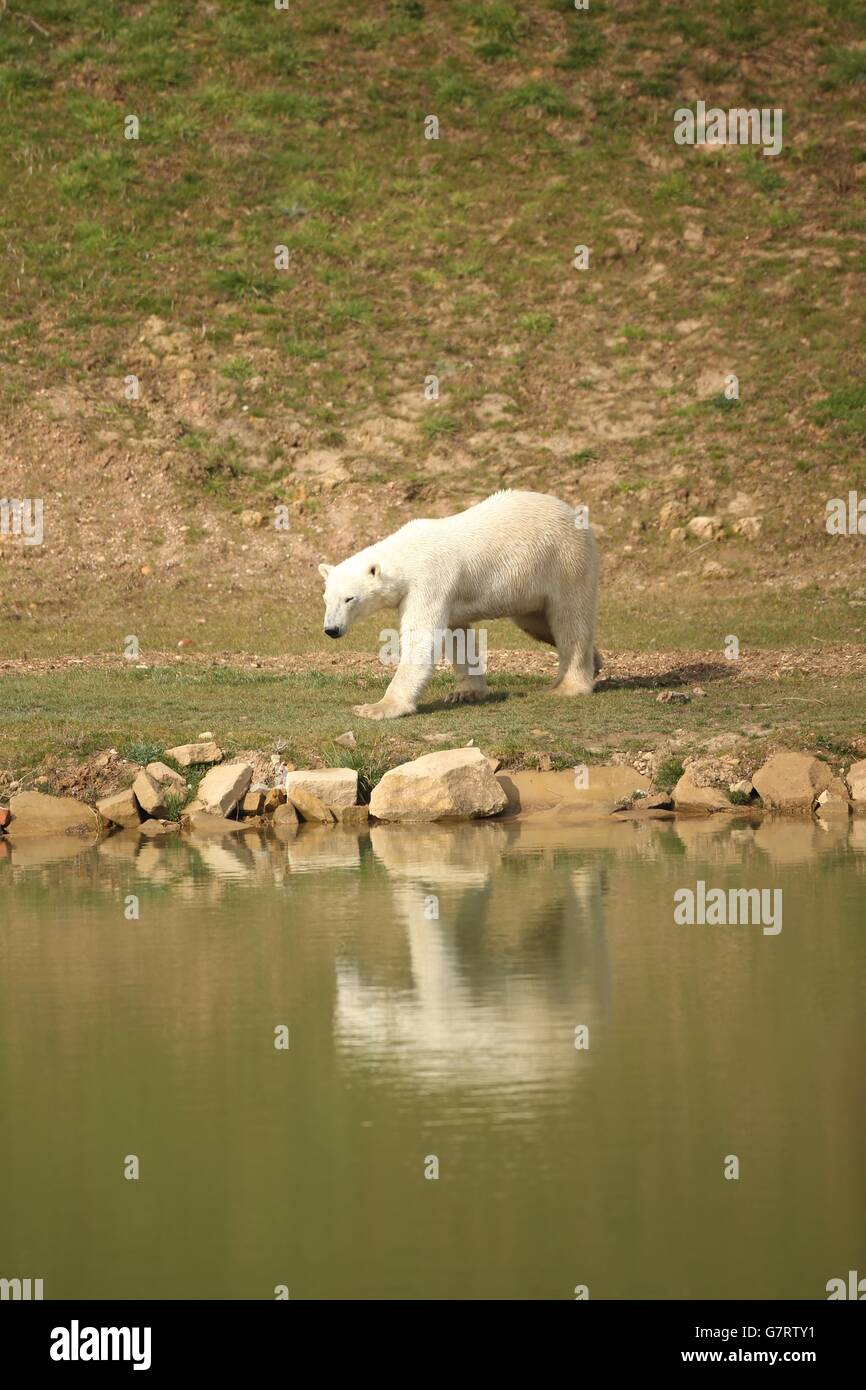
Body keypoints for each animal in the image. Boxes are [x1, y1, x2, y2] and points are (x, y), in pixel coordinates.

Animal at [318, 488, 600, 720]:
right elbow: (457, 636)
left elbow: (421, 638)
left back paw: (568, 686)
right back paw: (596, 661)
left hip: (564, 561)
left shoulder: (428, 581)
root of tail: (574, 514)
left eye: (349, 598)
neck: (407, 556)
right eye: (326, 598)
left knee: (569, 619)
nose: (331, 630)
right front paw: (464, 693)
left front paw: (377, 707)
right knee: (537, 623)